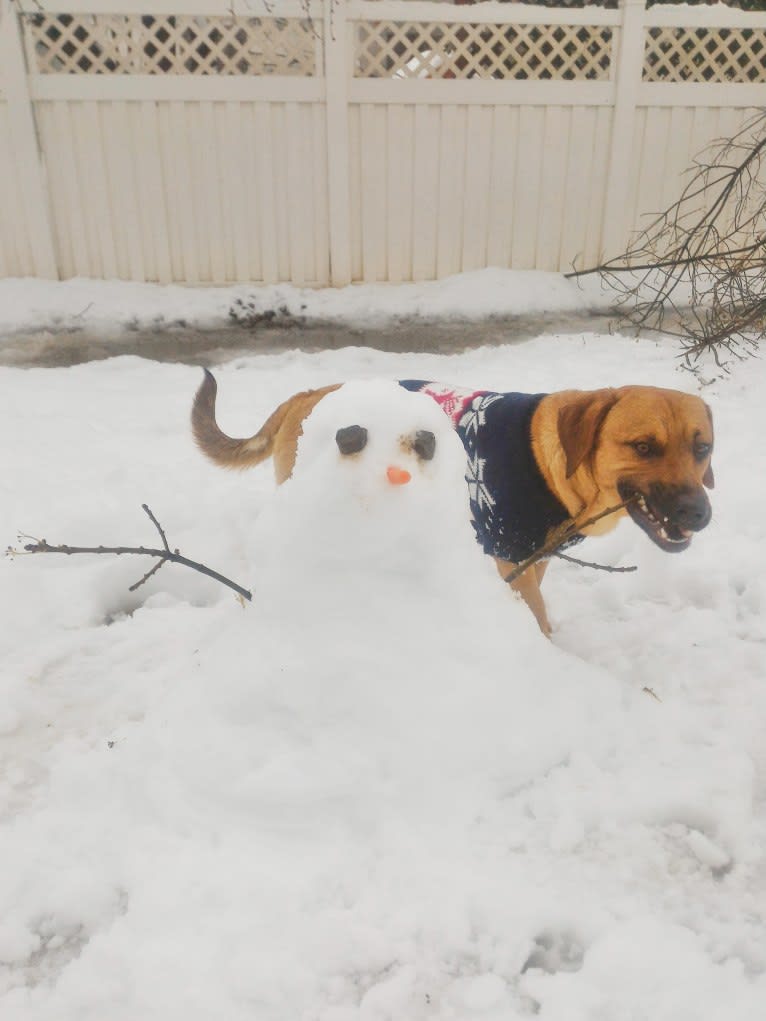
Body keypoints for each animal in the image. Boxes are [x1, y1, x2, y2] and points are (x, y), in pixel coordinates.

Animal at [190, 371, 714, 633]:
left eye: (702, 448)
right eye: (643, 447)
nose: (700, 514)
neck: (555, 464)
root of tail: (308, 393)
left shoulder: (533, 558)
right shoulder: (509, 557)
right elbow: (535, 616)